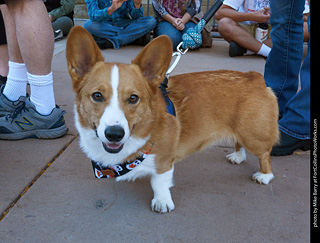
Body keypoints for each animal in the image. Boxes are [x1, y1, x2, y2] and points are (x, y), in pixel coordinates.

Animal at [66, 26, 278, 213]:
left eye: (133, 98)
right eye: (97, 96)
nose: (114, 134)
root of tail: (255, 77)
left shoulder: (164, 160)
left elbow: (159, 182)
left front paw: (162, 203)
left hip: (253, 135)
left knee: (264, 155)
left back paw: (264, 176)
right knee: (238, 143)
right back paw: (237, 156)